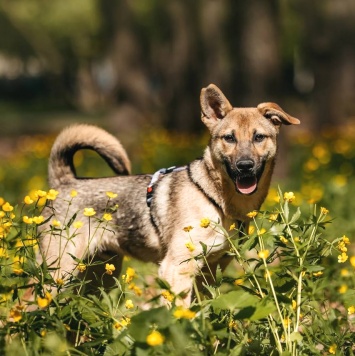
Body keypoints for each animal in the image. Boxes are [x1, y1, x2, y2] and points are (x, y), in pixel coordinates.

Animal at [34, 83, 300, 306]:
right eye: (229, 138)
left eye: (259, 137)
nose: (245, 166)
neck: (216, 200)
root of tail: (64, 182)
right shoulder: (176, 269)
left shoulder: (210, 271)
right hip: (59, 274)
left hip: (99, 277)